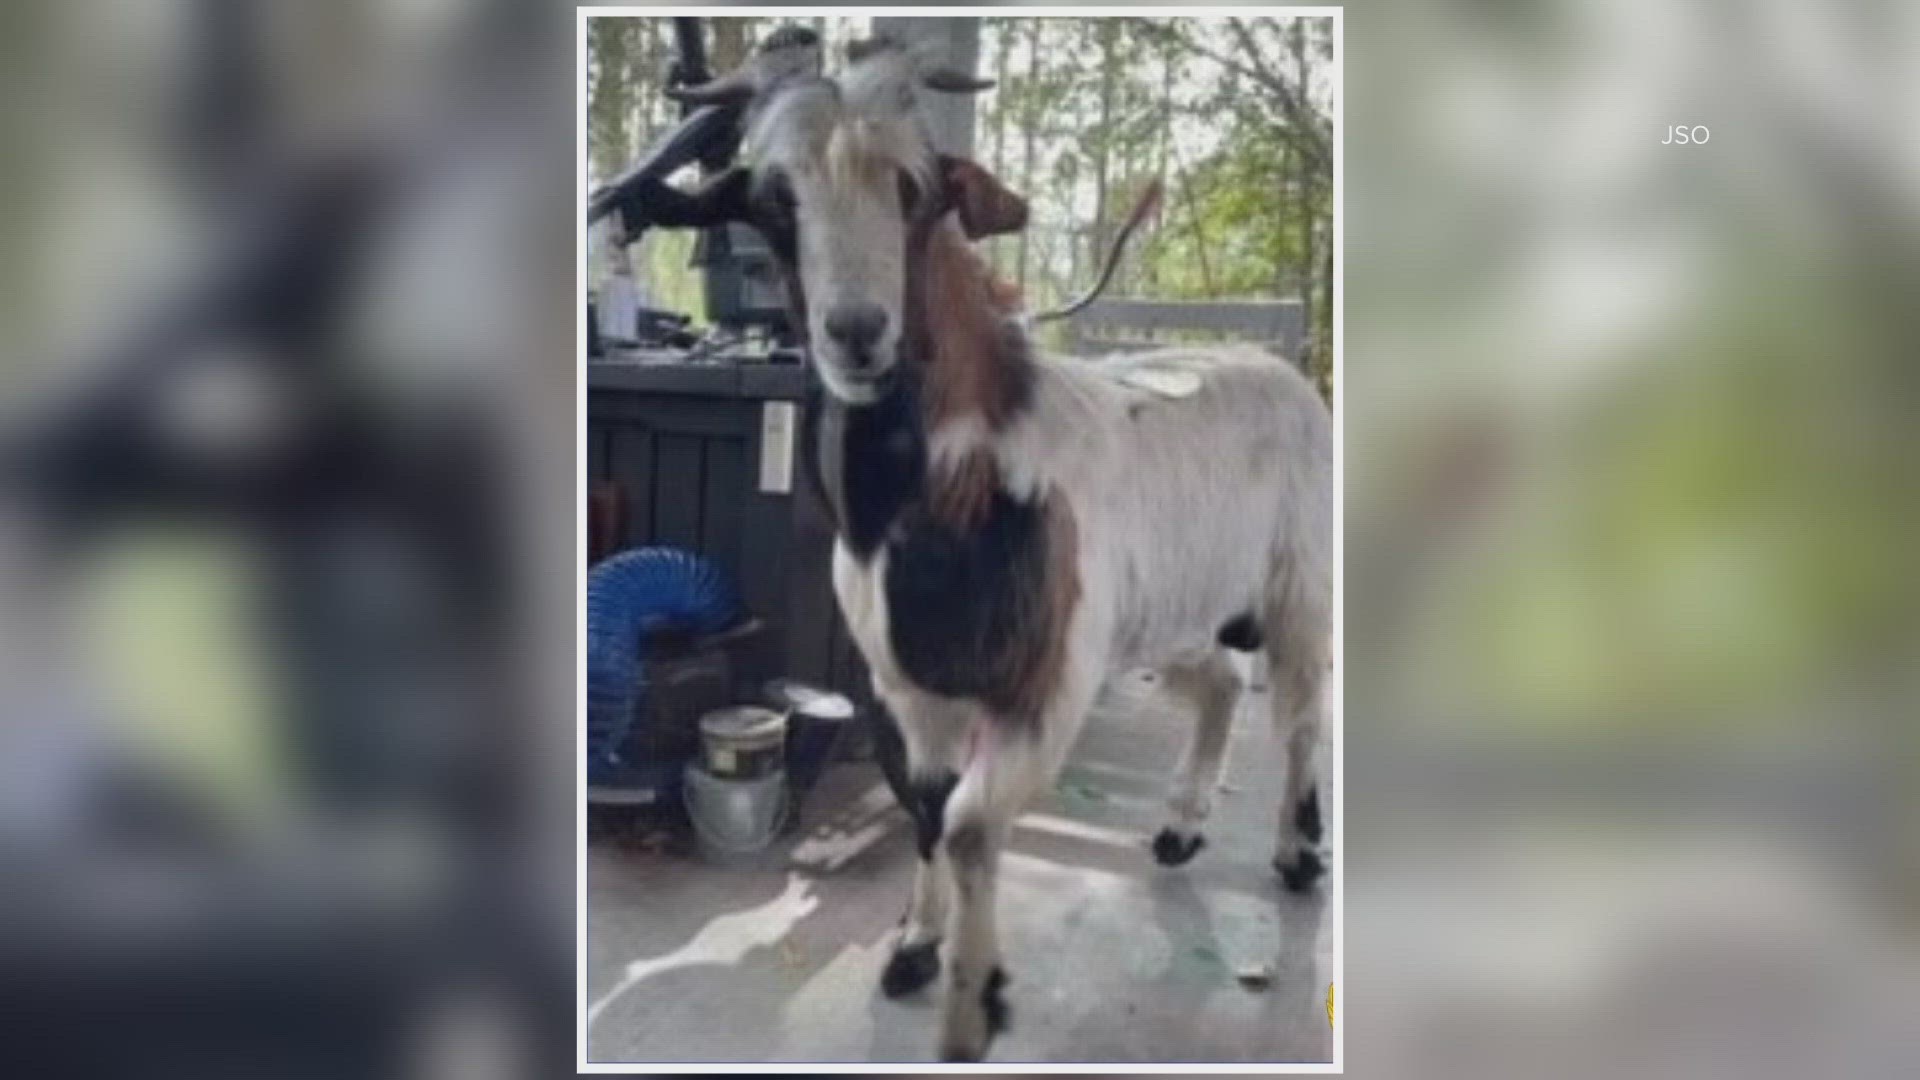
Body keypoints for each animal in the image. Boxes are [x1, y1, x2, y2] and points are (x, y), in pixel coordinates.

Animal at [645, 35, 1336, 1060]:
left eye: (918, 187)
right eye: (773, 195)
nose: (859, 333)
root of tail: (1277, 366)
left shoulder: (1044, 686)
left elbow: (972, 826)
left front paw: (974, 1004)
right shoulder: (902, 688)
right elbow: (930, 812)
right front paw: (914, 948)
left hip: (1300, 592)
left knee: (1298, 716)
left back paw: (1297, 850)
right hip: (1174, 607)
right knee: (1218, 685)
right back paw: (1178, 830)